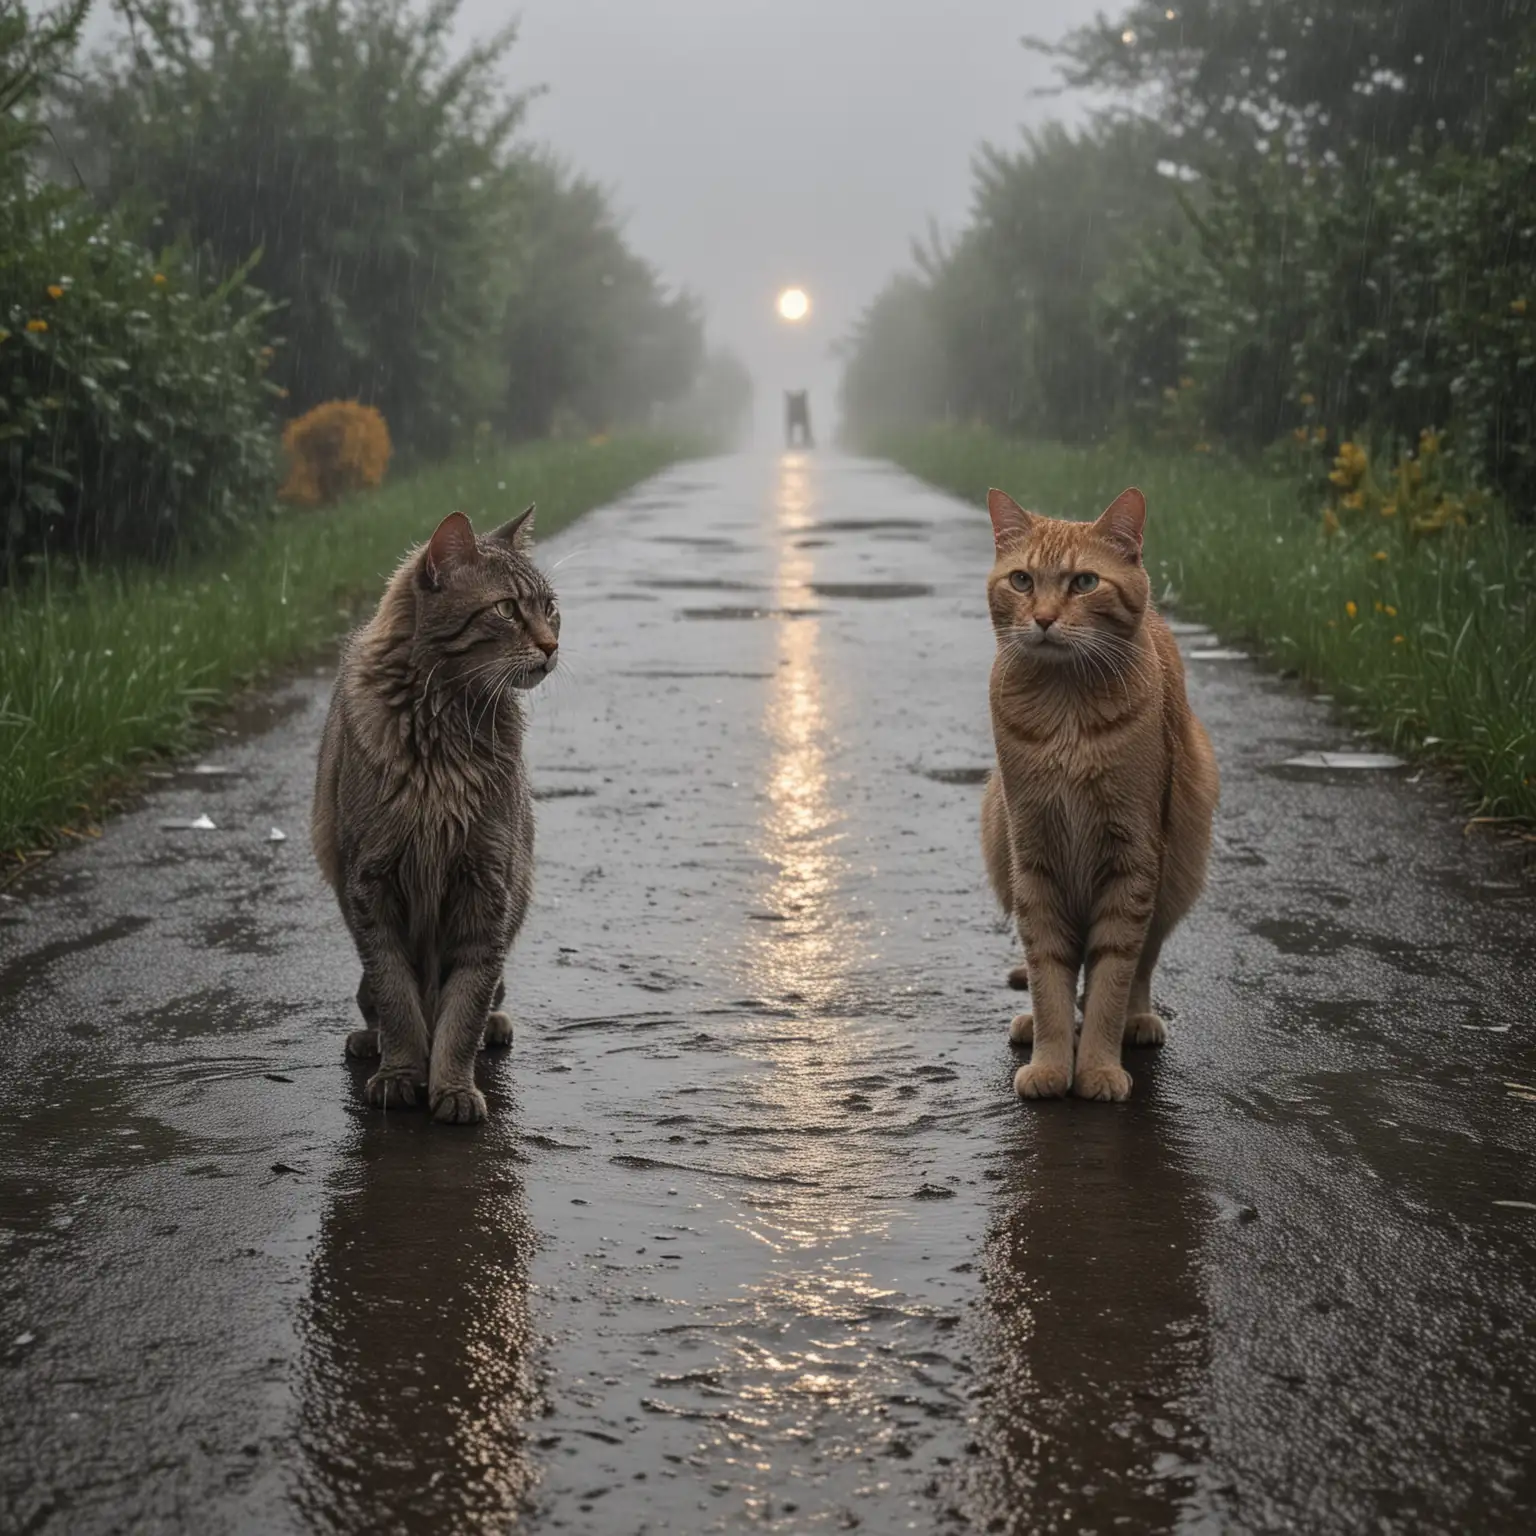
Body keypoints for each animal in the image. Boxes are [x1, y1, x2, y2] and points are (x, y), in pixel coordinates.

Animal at [308, 509, 556, 1124]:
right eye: (507, 609)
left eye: (550, 608)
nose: (553, 645)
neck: (443, 730)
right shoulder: (371, 886)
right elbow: (397, 998)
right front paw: (400, 1072)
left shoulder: (487, 887)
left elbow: (463, 1008)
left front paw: (452, 1085)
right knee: (373, 1001)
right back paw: (369, 1040)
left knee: (488, 997)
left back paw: (494, 1025)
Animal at [976, 485, 1216, 1099]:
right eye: (1022, 581)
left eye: (1084, 582)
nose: (1042, 618)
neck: (1066, 713)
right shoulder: (1033, 858)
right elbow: (1048, 974)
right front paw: (1051, 1061)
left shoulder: (1132, 861)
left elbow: (1110, 978)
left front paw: (1100, 1066)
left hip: (1178, 868)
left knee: (1141, 964)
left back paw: (1138, 1020)